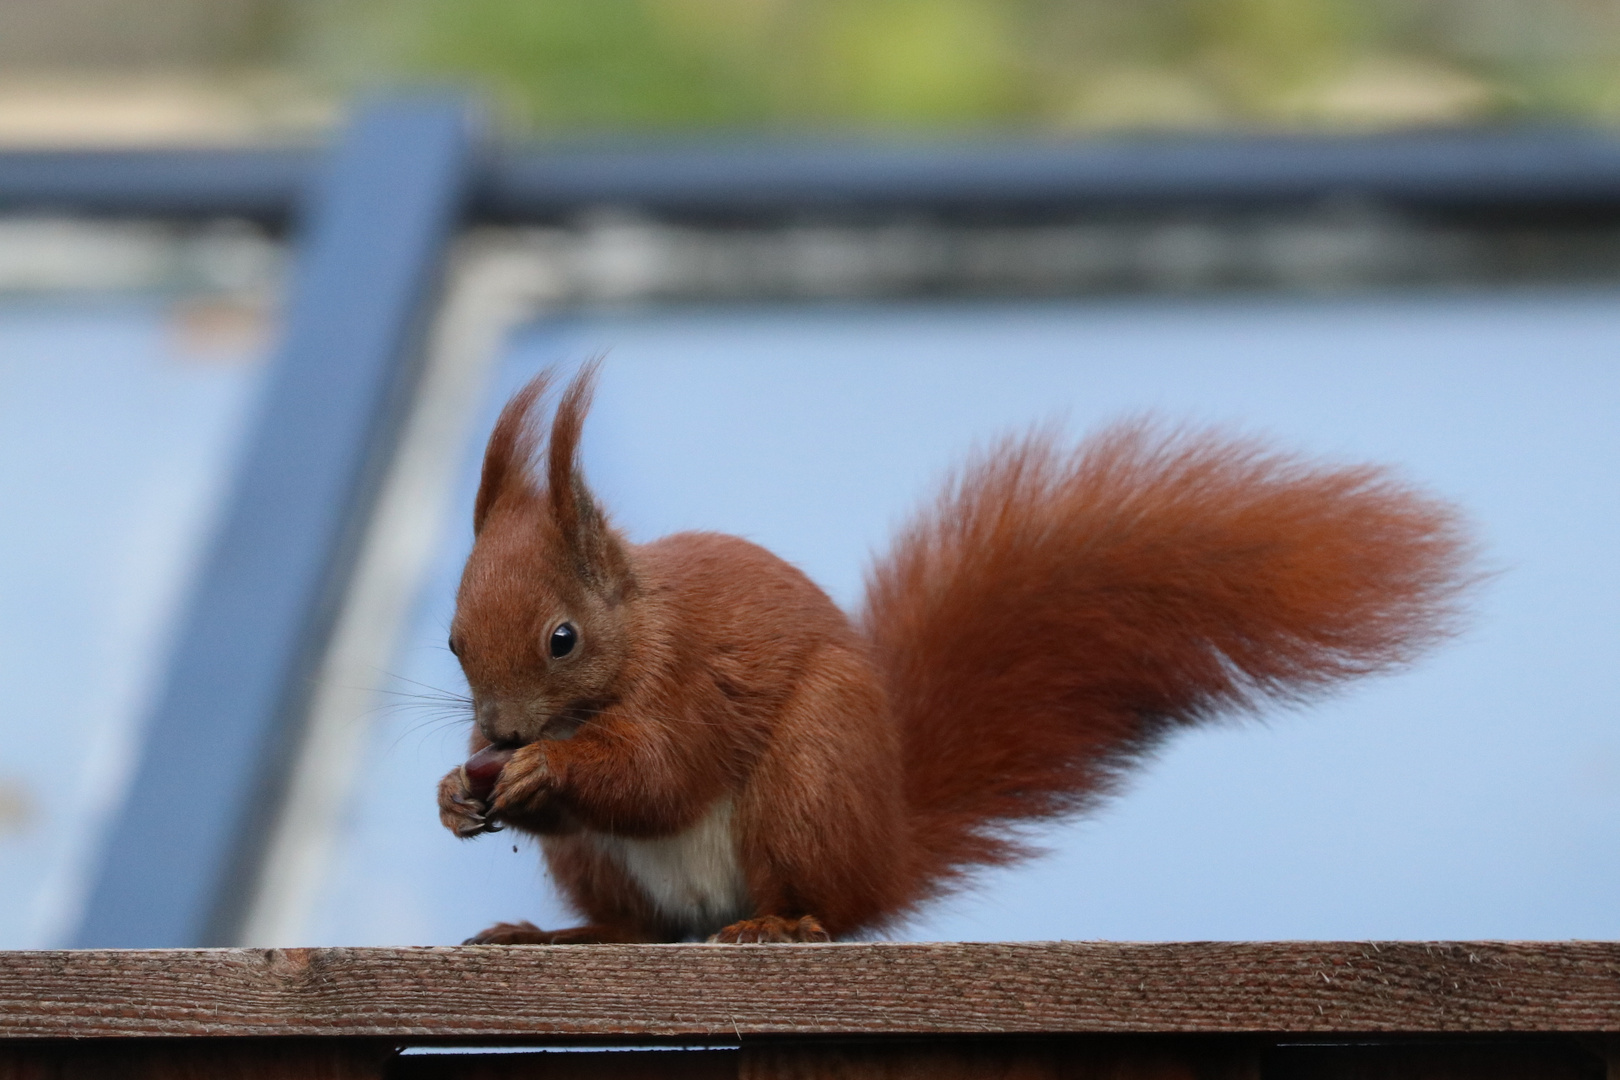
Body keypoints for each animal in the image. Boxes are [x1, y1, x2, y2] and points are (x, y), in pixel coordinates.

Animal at [437, 362, 1477, 945]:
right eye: (452, 641)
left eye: (563, 639)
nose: (501, 732)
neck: (640, 634)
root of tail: (887, 851)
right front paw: (456, 793)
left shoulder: (691, 680)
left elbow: (660, 771)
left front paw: (549, 768)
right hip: (608, 869)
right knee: (641, 929)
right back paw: (556, 937)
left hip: (810, 783)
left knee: (822, 907)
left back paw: (782, 924)